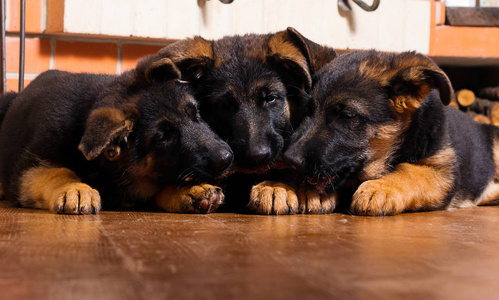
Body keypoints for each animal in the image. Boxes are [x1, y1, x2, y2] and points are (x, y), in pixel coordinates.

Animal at [0, 54, 233, 213]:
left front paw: (189, 190)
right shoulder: (27, 169)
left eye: (196, 114)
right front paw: (75, 188)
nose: (228, 157)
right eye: (163, 138)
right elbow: (58, 172)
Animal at [284, 50, 499, 217]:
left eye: (347, 115)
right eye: (308, 110)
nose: (290, 161)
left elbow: (409, 170)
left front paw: (380, 188)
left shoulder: (443, 172)